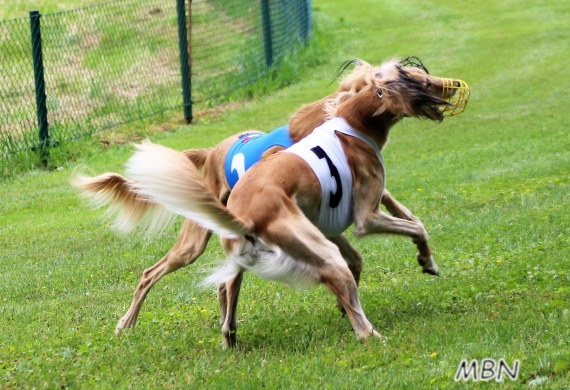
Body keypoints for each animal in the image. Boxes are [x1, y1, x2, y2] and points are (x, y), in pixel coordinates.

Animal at [75, 58, 466, 344]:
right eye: (420, 80)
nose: (451, 86)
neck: (348, 121)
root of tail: (210, 150)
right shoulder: (360, 218)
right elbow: (414, 226)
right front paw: (426, 260)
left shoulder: (337, 215)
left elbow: (399, 219)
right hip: (197, 244)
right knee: (152, 274)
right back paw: (126, 323)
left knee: (225, 287)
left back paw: (229, 333)